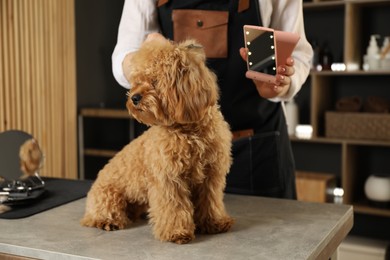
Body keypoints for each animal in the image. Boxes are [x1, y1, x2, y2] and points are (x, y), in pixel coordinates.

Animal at [80, 38, 233, 244]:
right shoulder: (168, 179)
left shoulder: (211, 176)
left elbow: (210, 201)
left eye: (155, 80)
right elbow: (174, 208)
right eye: (138, 81)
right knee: (98, 215)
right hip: (108, 196)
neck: (188, 132)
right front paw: (176, 232)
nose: (134, 98)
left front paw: (215, 223)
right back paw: (106, 221)